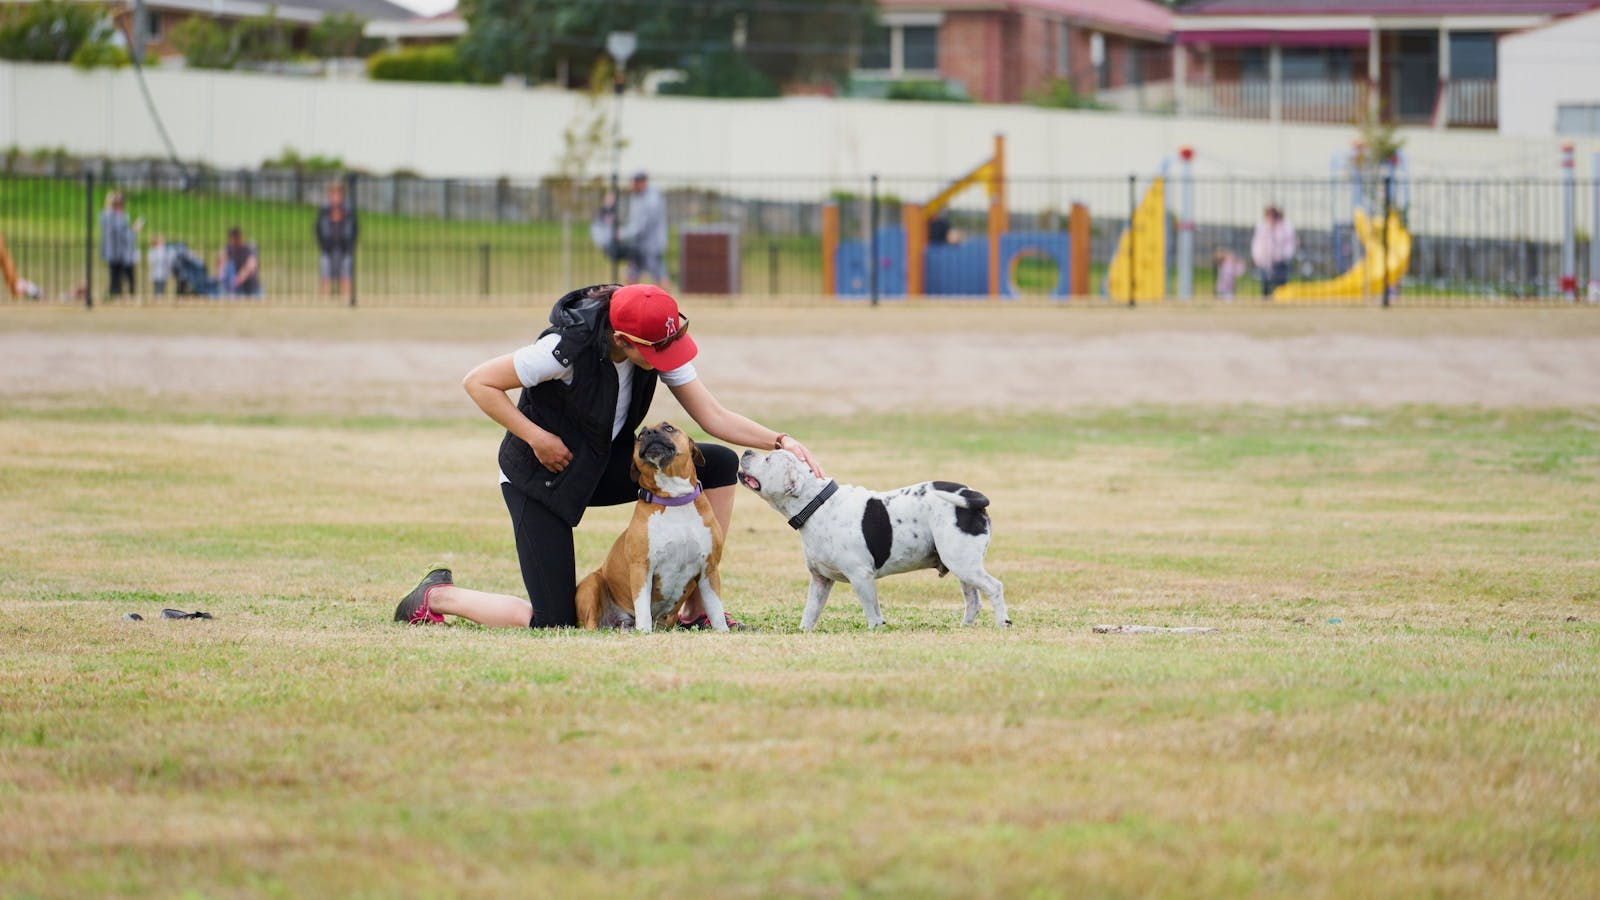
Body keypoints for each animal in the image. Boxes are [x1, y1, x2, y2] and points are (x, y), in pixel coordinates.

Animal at [572, 422, 729, 627]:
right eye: (639, 435)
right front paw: (644, 631)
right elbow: (643, 609)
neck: (674, 499)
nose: (649, 432)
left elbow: (716, 610)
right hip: (591, 584)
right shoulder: (642, 567)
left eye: (669, 428)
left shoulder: (709, 569)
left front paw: (722, 630)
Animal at [739, 448, 1011, 630]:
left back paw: (1003, 622)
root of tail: (972, 496)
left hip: (963, 563)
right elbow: (810, 613)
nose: (747, 450)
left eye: (768, 459)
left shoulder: (861, 577)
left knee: (994, 587)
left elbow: (872, 613)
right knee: (973, 600)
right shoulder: (820, 581)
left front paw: (875, 630)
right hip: (962, 565)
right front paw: (804, 631)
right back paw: (965, 627)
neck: (817, 504)